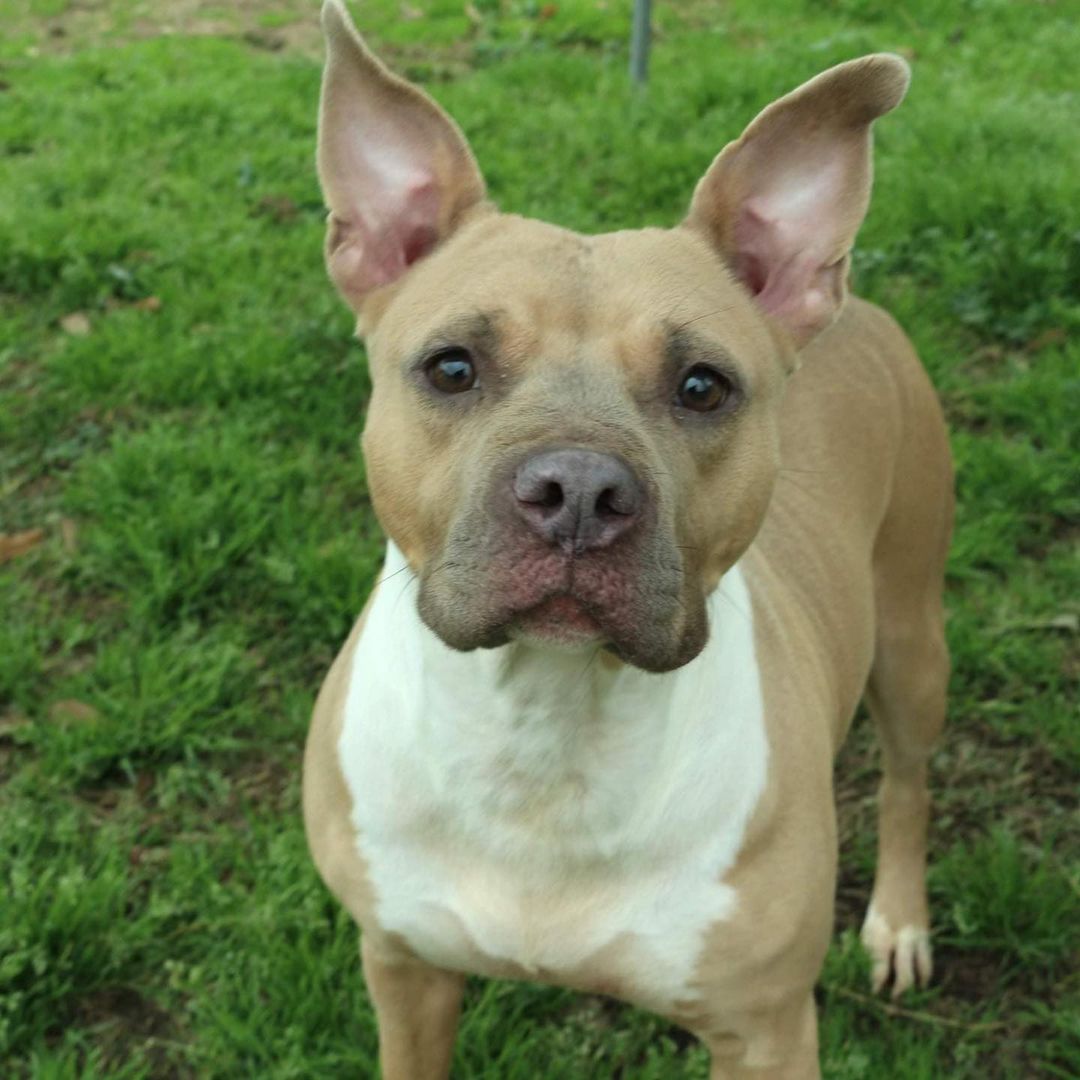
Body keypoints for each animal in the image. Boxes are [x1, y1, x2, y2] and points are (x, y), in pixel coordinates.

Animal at [302, 4, 954, 1075]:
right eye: (452, 367)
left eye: (703, 386)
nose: (578, 493)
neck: (546, 732)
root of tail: (848, 301)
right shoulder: (403, 968)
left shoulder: (767, 1029)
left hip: (911, 633)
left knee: (908, 781)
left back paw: (899, 922)